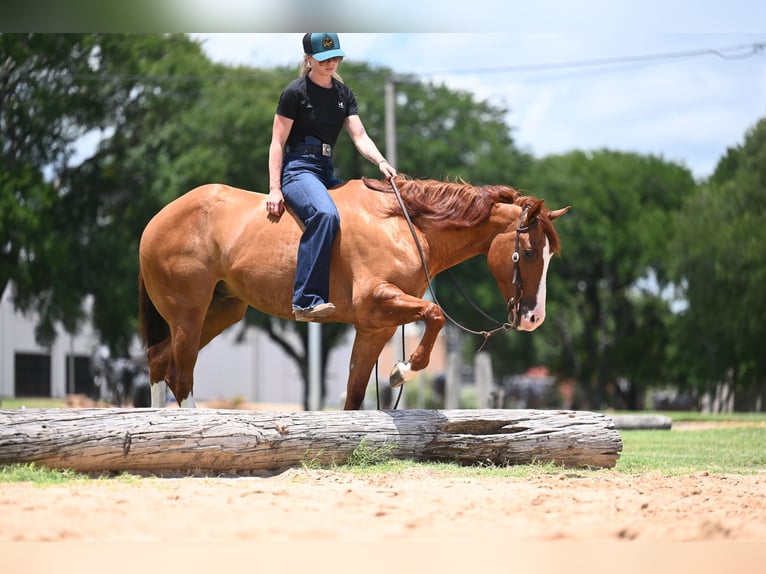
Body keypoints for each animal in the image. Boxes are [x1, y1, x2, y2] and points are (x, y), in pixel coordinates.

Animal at [137, 174, 570, 410]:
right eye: (530, 251)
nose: (534, 318)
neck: (404, 224)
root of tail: (156, 220)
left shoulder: (375, 327)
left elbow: (355, 394)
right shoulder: (379, 300)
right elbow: (435, 316)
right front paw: (402, 369)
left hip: (221, 311)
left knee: (159, 360)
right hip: (189, 315)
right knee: (179, 375)